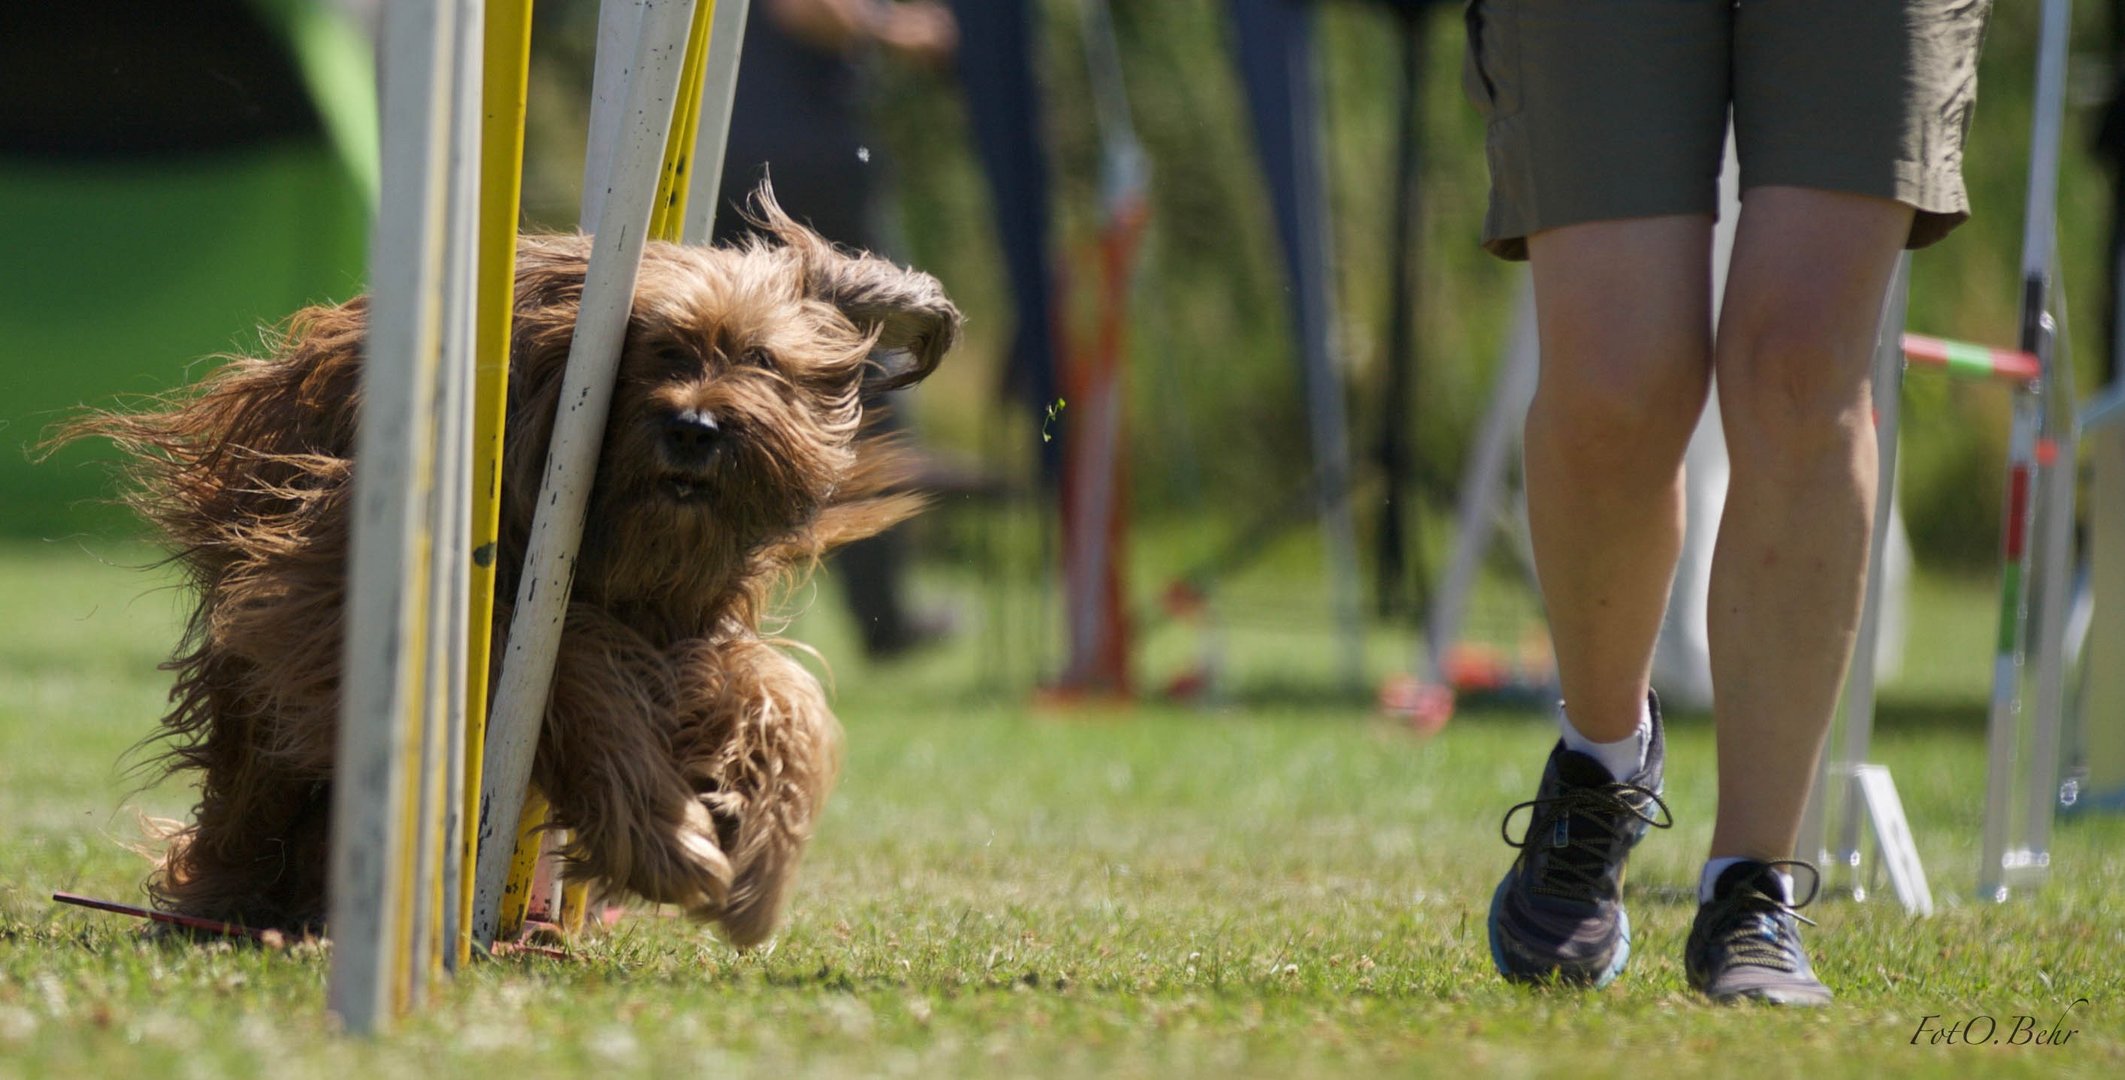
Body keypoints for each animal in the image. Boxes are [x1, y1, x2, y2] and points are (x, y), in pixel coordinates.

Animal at [66, 196, 964, 943]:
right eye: (662, 350)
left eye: (762, 360)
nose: (695, 428)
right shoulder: (370, 587)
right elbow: (581, 682)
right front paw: (669, 841)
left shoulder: (687, 622)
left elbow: (779, 696)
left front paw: (759, 862)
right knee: (257, 789)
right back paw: (236, 902)